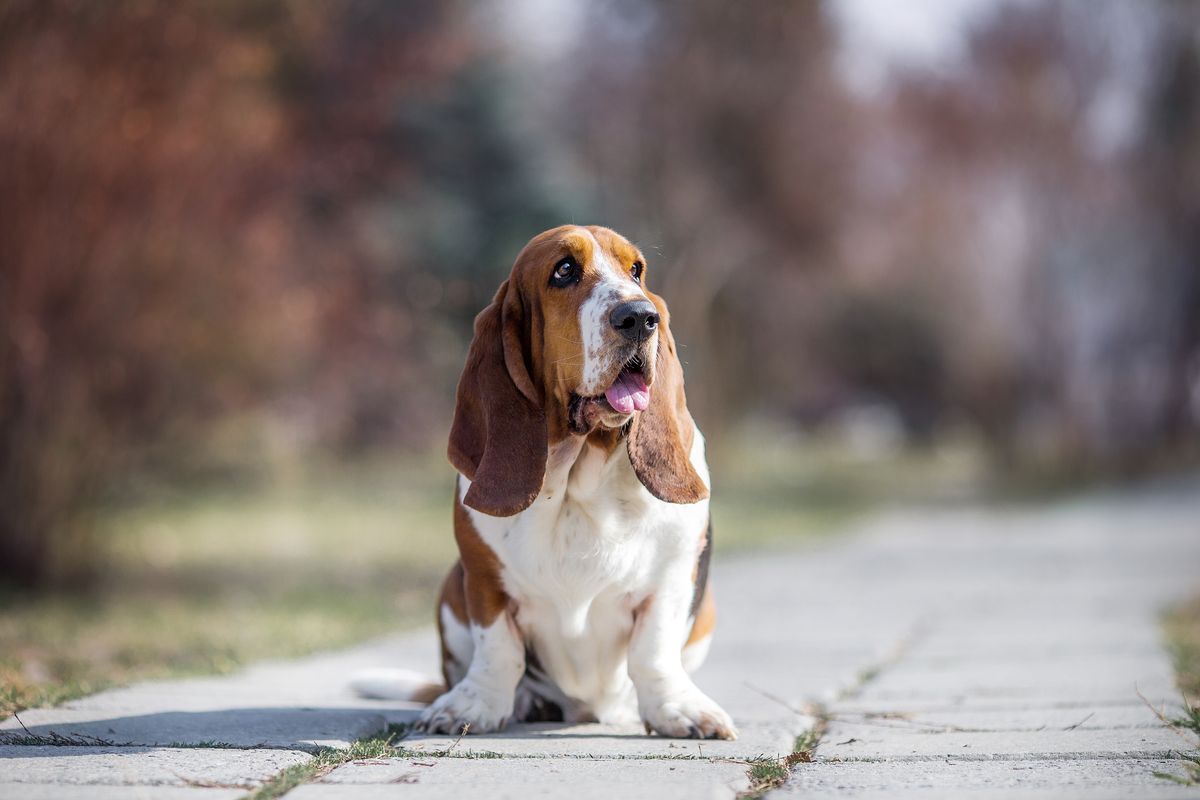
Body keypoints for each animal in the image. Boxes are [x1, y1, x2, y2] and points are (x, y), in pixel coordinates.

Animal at [350, 224, 734, 738]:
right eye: (564, 270)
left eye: (636, 270)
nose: (641, 316)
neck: (575, 480)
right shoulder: (483, 580)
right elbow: (498, 650)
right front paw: (473, 706)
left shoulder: (671, 579)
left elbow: (653, 652)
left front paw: (678, 711)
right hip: (451, 588)